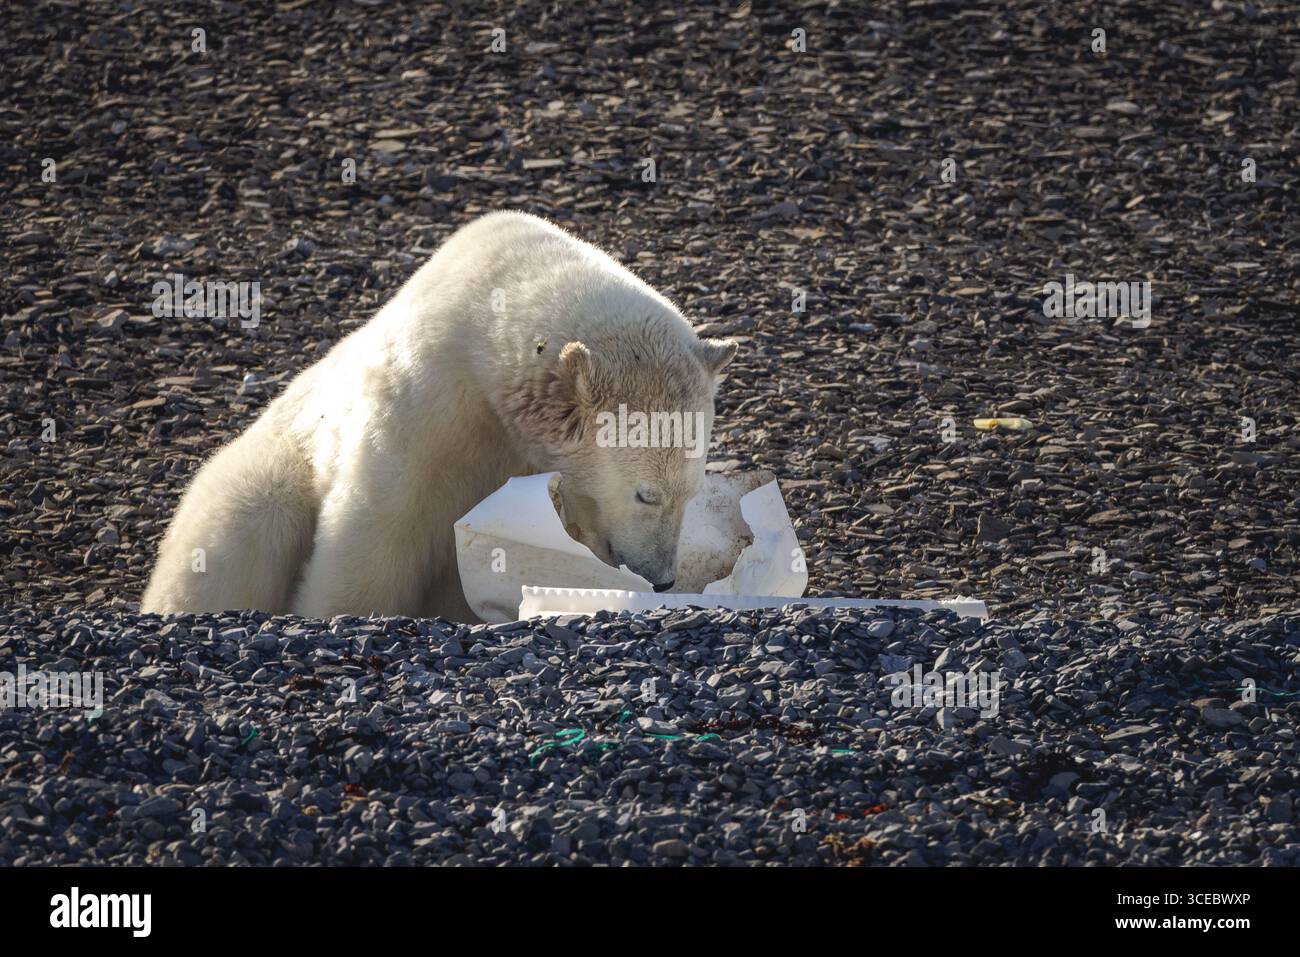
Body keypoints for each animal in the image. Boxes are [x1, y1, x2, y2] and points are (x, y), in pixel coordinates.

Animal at [140, 211, 737, 622]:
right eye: (646, 495)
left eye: (692, 492)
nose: (661, 579)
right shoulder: (423, 410)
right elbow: (374, 531)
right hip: (276, 461)